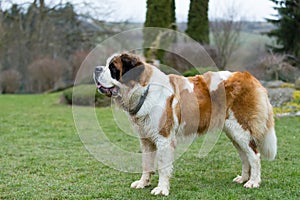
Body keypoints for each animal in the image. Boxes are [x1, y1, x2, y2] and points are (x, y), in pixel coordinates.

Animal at [93, 52, 276, 196]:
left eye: (112, 68)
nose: (96, 68)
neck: (144, 90)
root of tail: (248, 76)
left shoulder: (164, 138)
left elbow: (162, 165)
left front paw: (161, 189)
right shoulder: (146, 139)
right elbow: (146, 163)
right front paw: (143, 182)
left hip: (240, 128)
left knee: (254, 155)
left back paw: (253, 182)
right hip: (233, 132)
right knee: (245, 155)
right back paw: (243, 178)